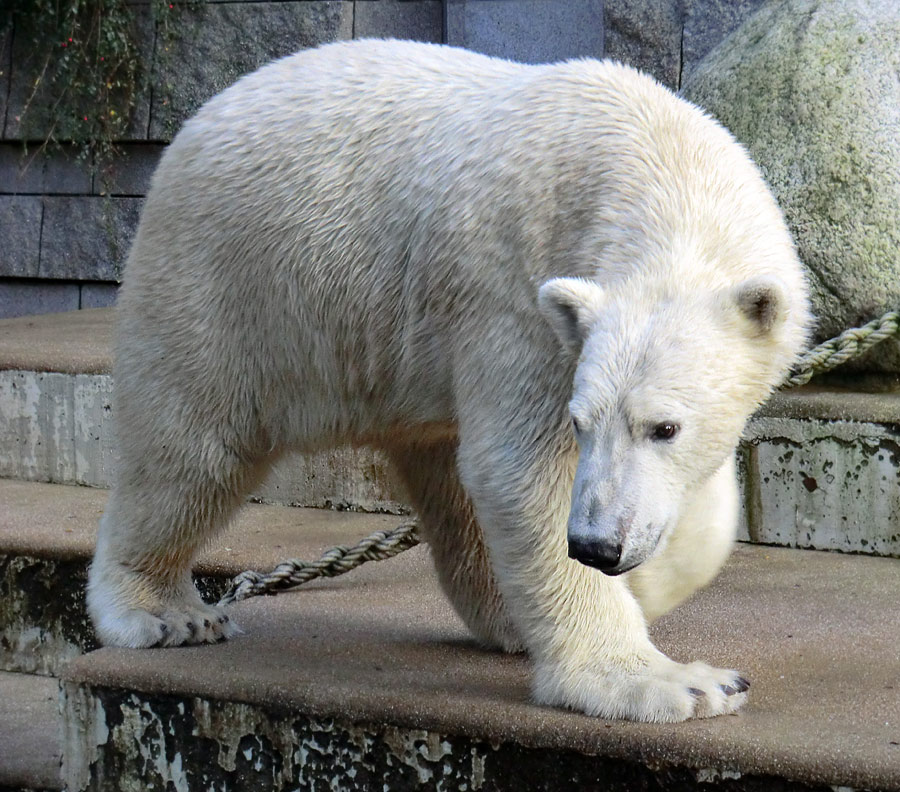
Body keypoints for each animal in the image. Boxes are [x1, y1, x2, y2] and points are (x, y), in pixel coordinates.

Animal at [88, 38, 812, 724]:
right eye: (581, 422)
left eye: (665, 427)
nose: (597, 545)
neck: (651, 156)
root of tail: (196, 122)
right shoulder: (517, 298)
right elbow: (522, 469)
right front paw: (676, 682)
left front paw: (657, 575)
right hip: (222, 280)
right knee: (194, 450)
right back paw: (165, 611)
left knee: (444, 473)